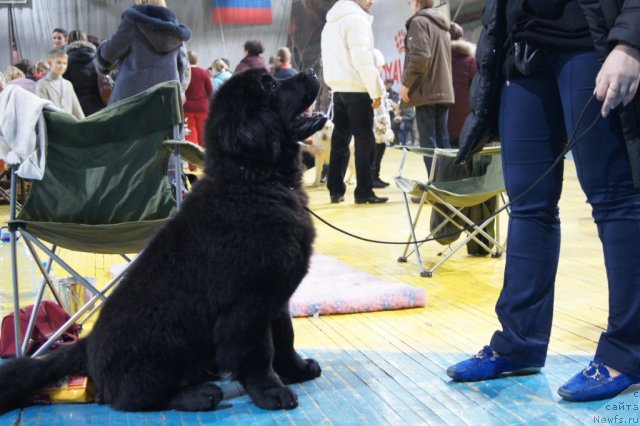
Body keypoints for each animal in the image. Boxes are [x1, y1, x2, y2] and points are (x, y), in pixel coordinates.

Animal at [0, 68, 328, 412]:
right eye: (272, 85)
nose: (310, 71)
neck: (253, 180)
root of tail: (87, 345)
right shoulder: (248, 303)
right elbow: (259, 353)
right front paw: (271, 392)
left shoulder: (276, 297)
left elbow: (285, 338)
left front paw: (298, 370)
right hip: (161, 350)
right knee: (134, 396)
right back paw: (200, 394)